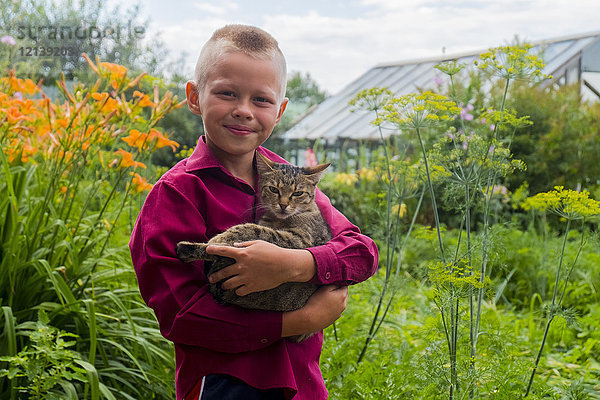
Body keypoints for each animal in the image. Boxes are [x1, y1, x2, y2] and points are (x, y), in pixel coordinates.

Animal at [176, 153, 330, 340]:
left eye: (298, 193)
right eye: (274, 190)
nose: (283, 205)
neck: (278, 219)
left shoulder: (299, 239)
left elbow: (252, 229)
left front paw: (218, 238)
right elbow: (256, 228)